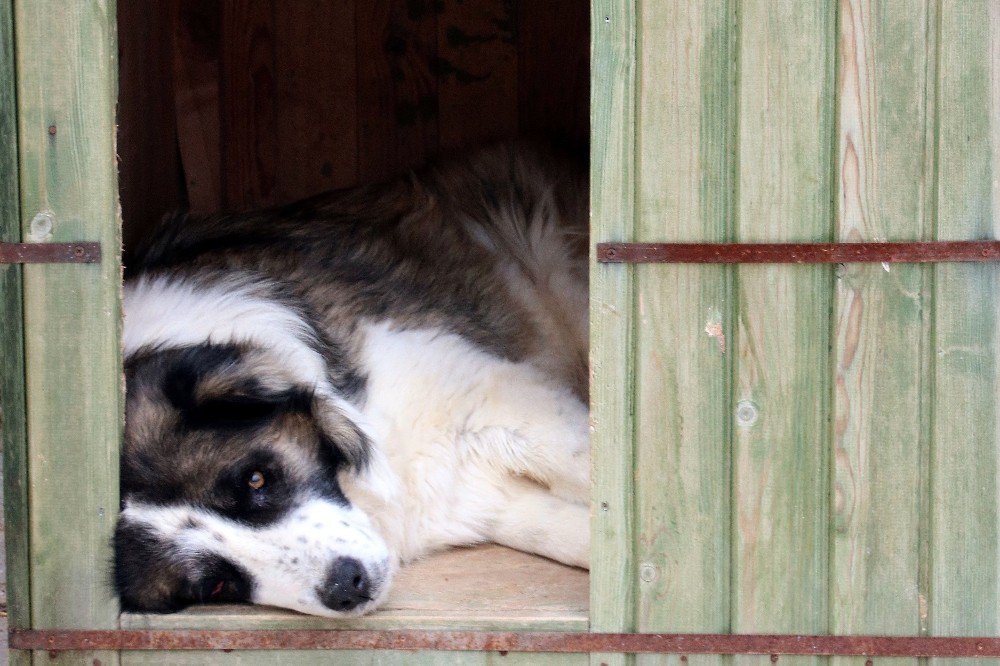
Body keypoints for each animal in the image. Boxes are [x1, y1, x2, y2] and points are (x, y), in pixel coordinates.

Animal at [113, 145, 588, 616]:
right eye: (214, 585)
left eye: (256, 479)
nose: (347, 585)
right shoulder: (469, 494)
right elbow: (562, 527)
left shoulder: (493, 403)